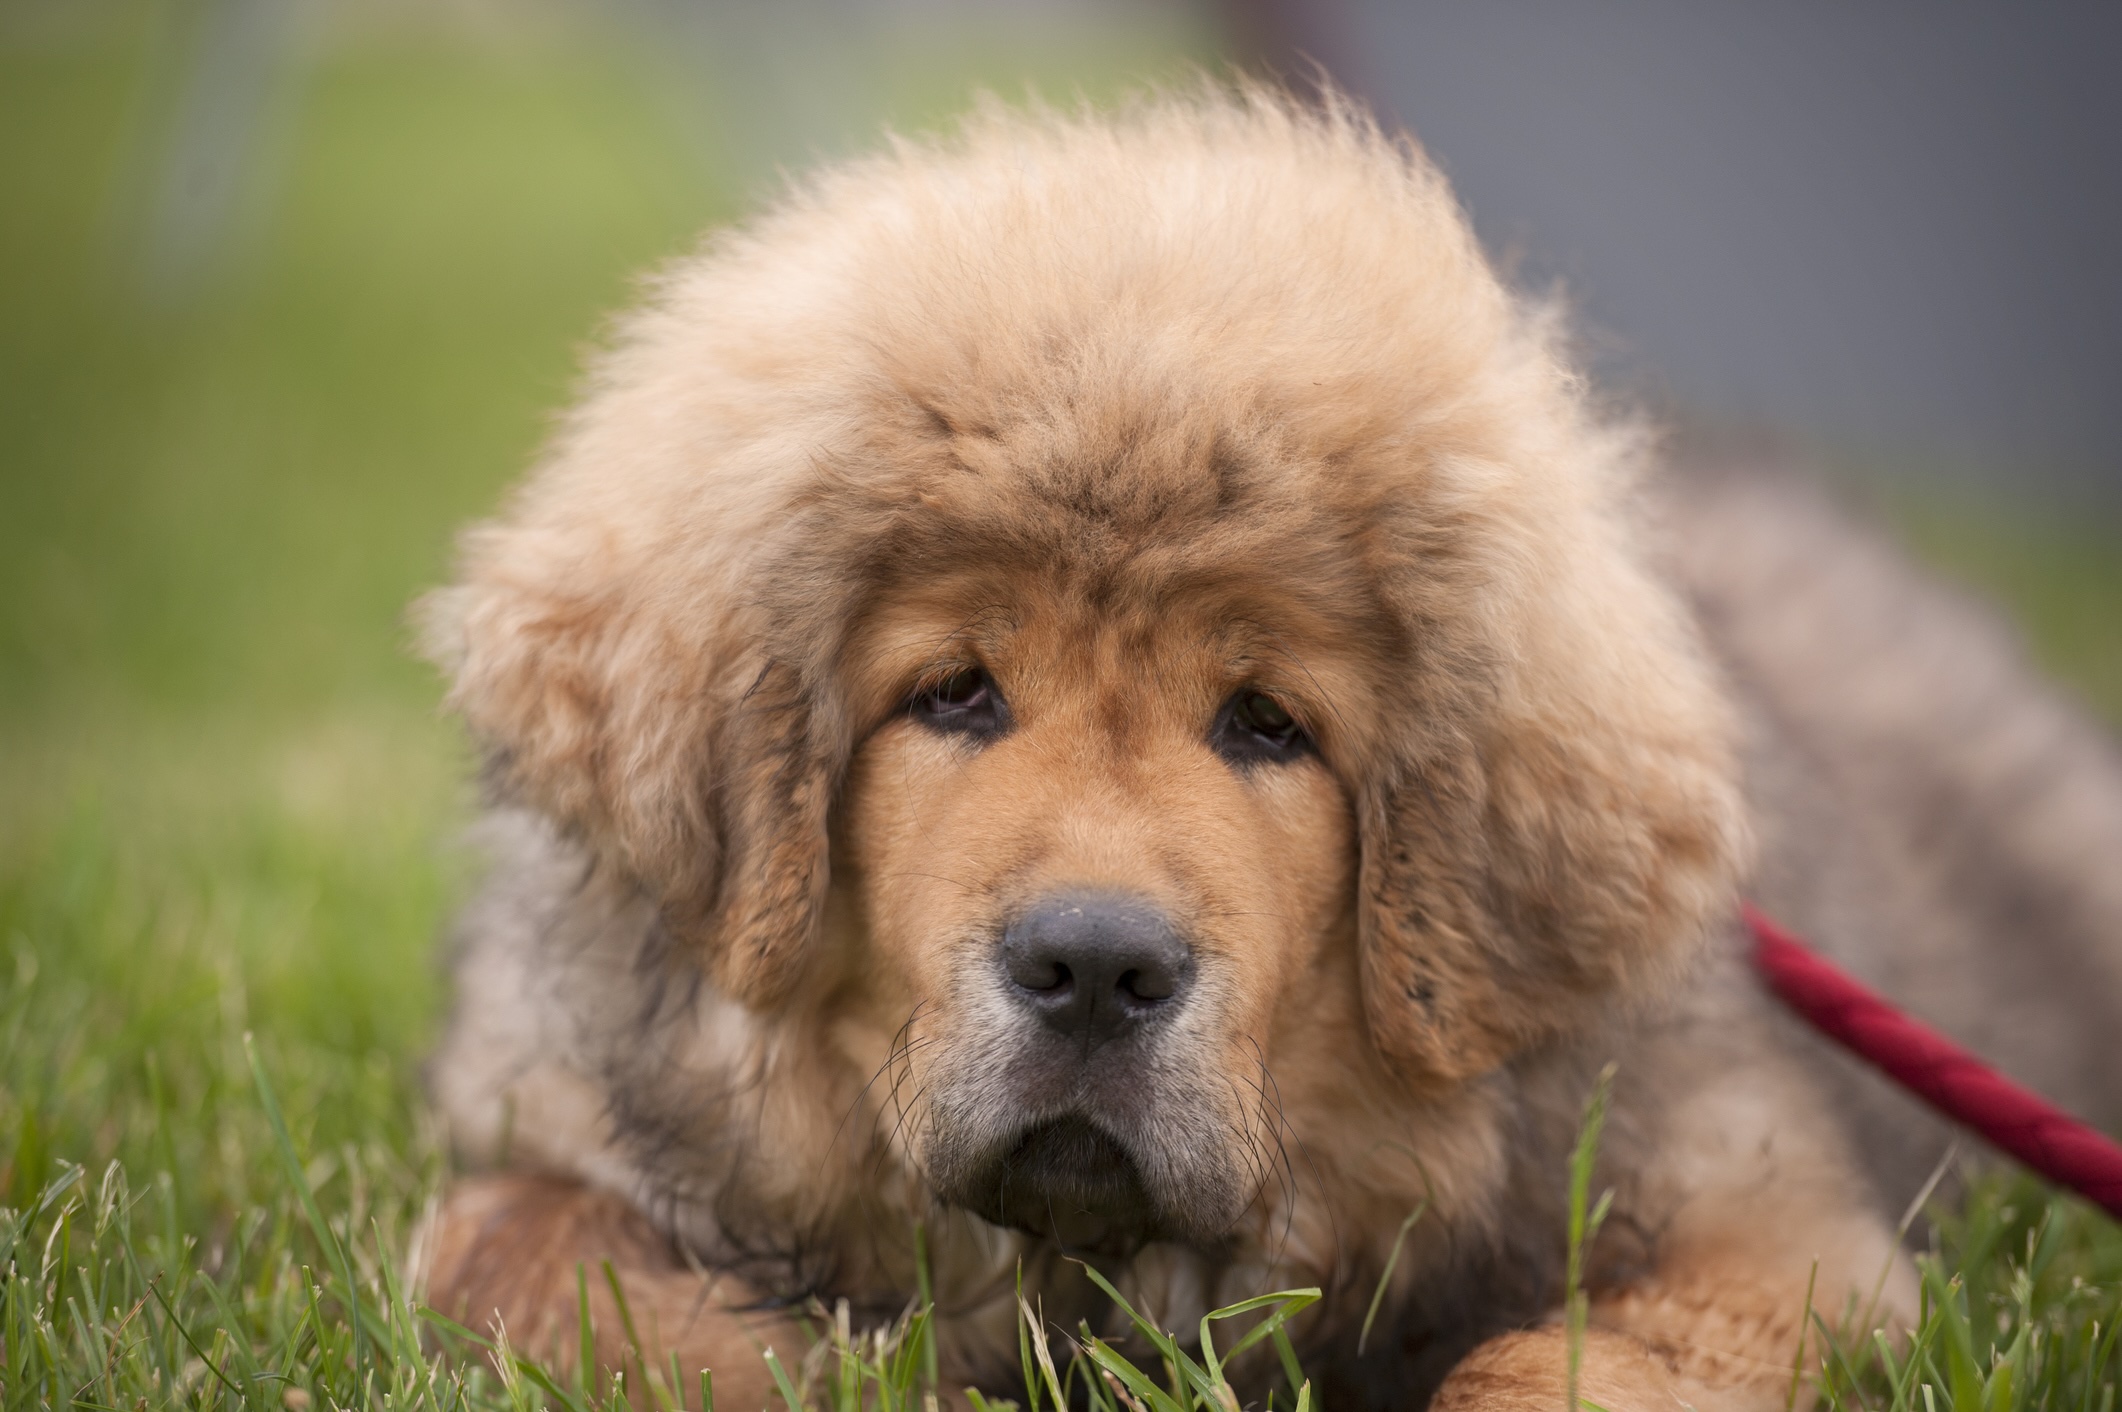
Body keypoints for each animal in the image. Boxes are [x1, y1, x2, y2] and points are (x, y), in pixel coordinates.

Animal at [413, 90, 2122, 1409]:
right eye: (952, 693)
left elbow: (1537, 1365)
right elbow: (508, 1256)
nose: (1095, 970)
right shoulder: (556, 1125)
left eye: (1267, 725)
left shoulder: (1770, 1242)